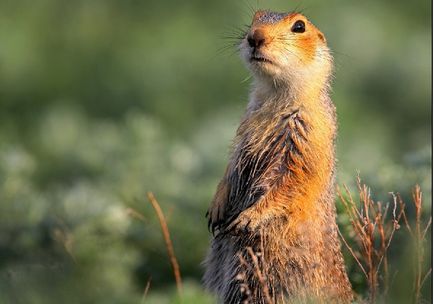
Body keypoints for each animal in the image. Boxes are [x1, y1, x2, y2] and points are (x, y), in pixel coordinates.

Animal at [203, 10, 352, 304]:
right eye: (254, 18)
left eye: (299, 26)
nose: (255, 37)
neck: (275, 95)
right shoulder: (244, 127)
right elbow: (231, 166)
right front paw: (216, 208)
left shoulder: (307, 133)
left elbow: (291, 181)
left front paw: (247, 218)